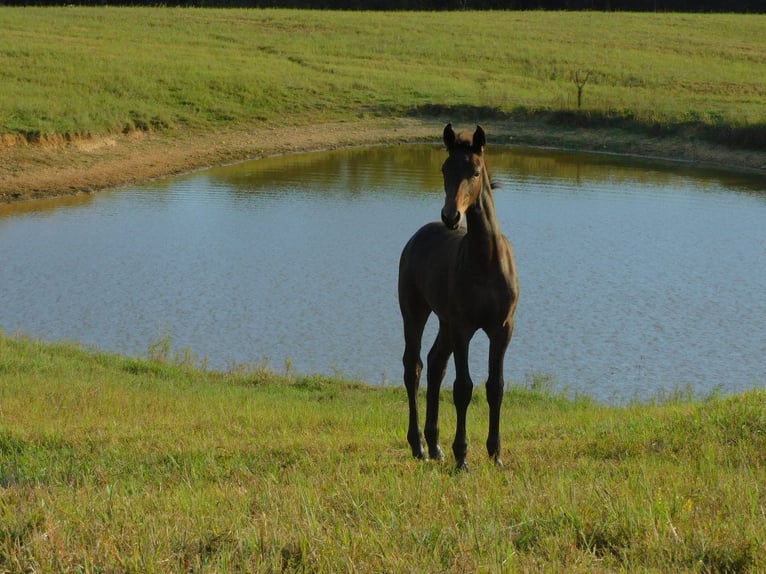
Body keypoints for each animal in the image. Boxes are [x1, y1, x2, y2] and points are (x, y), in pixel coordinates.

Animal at [398, 124, 519, 472]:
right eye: (444, 168)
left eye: (475, 171)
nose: (451, 215)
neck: (486, 261)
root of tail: (418, 236)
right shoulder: (465, 328)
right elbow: (463, 387)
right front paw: (462, 457)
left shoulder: (502, 329)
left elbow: (496, 386)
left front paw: (496, 455)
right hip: (415, 312)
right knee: (413, 367)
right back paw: (419, 445)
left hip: (445, 321)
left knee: (435, 362)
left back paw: (435, 445)